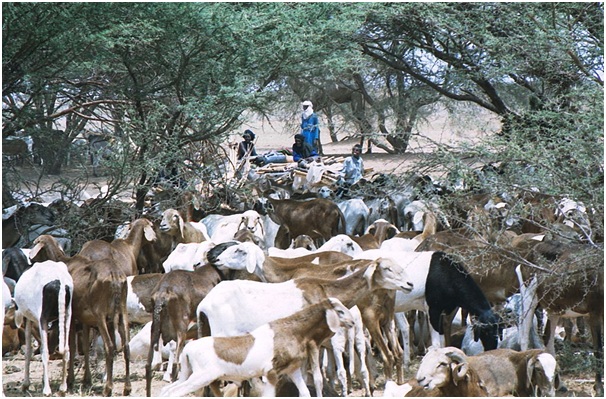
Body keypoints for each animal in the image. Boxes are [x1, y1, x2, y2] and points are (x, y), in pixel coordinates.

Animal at [162, 298, 354, 398]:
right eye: (339, 311)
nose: (352, 322)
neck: (292, 331)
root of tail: (188, 349)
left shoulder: (293, 370)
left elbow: (305, 392)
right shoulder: (271, 373)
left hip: (189, 375)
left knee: (167, 391)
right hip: (201, 377)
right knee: (174, 393)